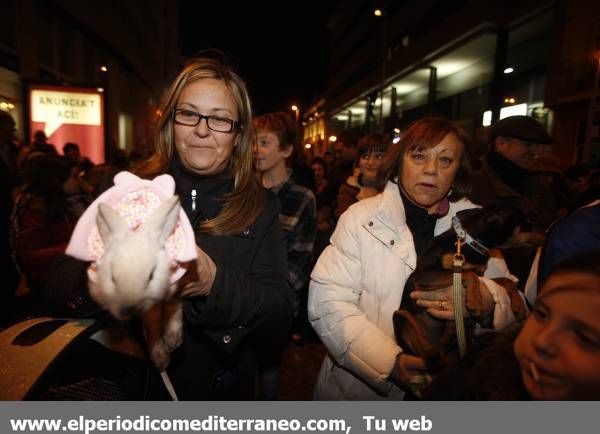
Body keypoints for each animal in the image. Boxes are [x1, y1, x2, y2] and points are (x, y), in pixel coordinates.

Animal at [392, 205, 524, 372]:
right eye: (526, 222)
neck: (467, 242)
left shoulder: (480, 274)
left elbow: (503, 280)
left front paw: (519, 305)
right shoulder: (424, 275)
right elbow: (467, 273)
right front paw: (475, 301)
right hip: (400, 316)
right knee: (430, 356)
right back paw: (433, 352)